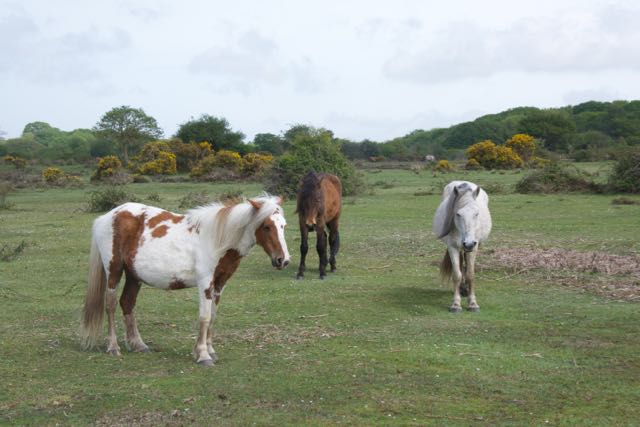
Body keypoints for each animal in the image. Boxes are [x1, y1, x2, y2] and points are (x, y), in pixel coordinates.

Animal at [80, 195, 290, 366]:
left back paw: (139, 345)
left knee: (127, 303)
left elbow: (213, 316)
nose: (283, 260)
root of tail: (107, 216)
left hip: (134, 276)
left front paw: (210, 351)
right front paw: (203, 355)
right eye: (266, 226)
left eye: (283, 226)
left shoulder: (219, 285)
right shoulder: (205, 283)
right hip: (114, 271)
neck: (216, 239)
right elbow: (204, 317)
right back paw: (113, 347)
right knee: (111, 305)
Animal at [432, 181, 492, 313]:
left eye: (476, 213)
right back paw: (461, 289)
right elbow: (457, 274)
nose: (468, 243)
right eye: (458, 214)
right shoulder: (453, 247)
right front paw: (456, 304)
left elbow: (470, 274)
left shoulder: (473, 248)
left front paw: (473, 303)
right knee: (460, 264)